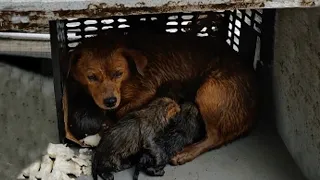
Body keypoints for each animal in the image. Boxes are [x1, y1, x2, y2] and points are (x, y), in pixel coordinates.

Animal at [70, 30, 258, 165]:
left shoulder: (146, 92)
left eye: (118, 73)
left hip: (208, 93)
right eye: (91, 77)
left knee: (215, 137)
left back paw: (187, 152)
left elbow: (121, 111)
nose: (110, 102)